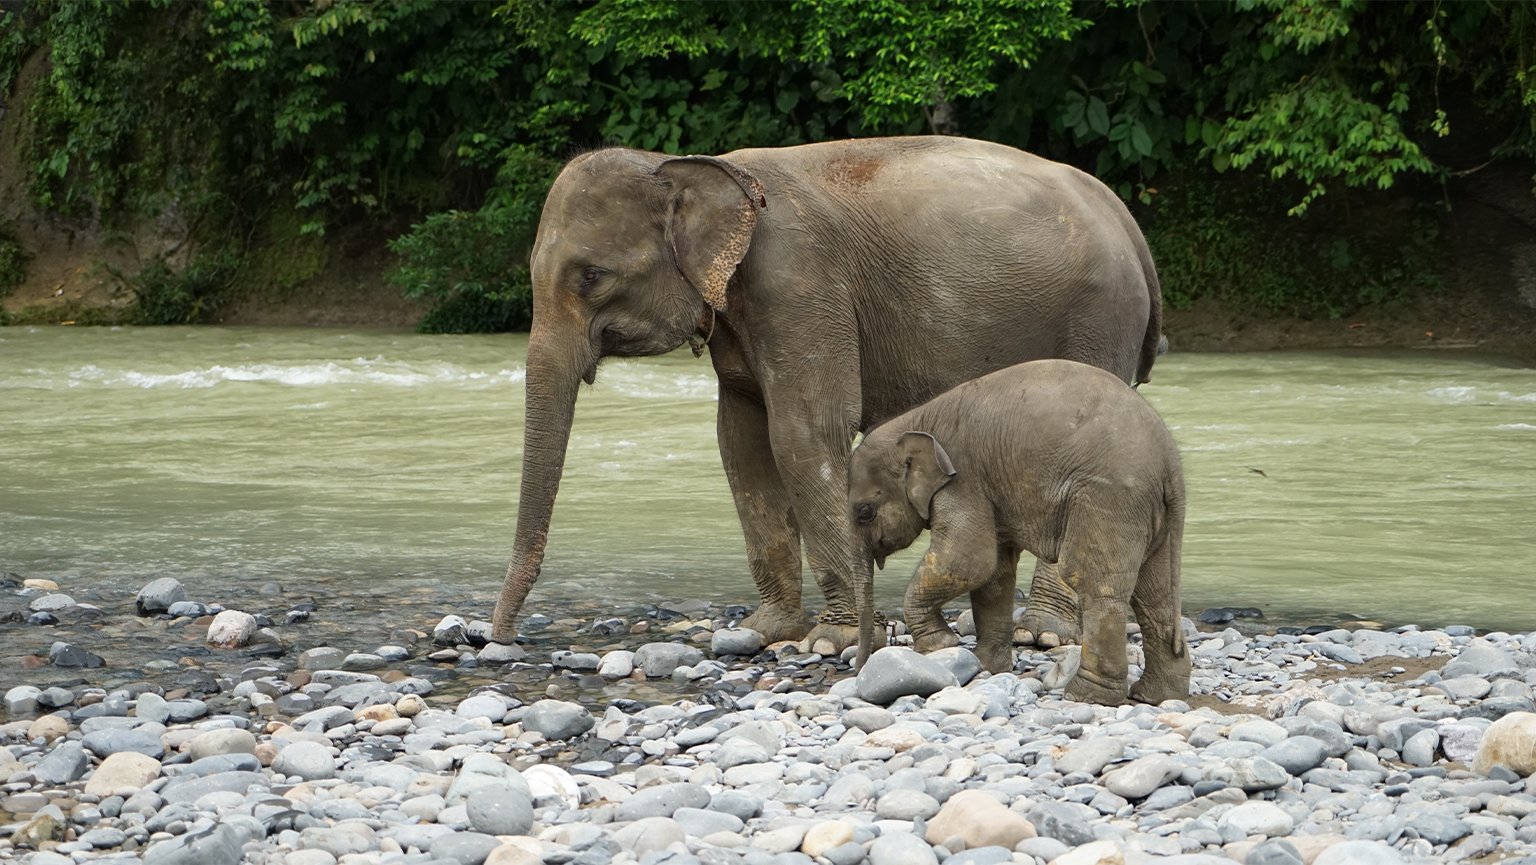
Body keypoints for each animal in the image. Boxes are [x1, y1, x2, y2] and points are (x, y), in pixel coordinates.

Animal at [491, 135, 1161, 651]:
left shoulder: (799, 285)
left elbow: (804, 434)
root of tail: (1125, 217)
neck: (694, 165)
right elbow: (740, 443)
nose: (499, 638)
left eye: (591, 276)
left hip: (1100, 317)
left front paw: (828, 641)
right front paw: (766, 631)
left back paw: (1042, 633)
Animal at [854, 359, 1185, 703]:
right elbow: (993, 573)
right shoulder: (989, 488)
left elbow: (966, 561)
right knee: (1153, 596)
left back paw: (1085, 696)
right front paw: (985, 666)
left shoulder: (963, 480)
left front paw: (940, 645)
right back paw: (1155, 696)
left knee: (1093, 583)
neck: (917, 418)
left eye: (864, 512)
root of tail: (1171, 464)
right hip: (1151, 515)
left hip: (1109, 498)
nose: (859, 668)